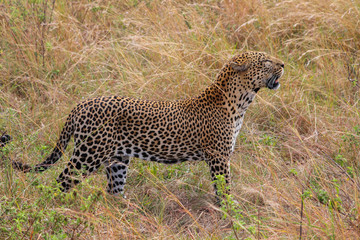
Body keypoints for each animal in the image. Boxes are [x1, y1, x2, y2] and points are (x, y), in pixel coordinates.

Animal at [1, 51, 286, 200]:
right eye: (266, 62)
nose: (283, 64)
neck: (241, 100)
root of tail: (80, 105)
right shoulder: (218, 157)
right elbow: (224, 188)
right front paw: (230, 213)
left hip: (117, 160)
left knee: (113, 191)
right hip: (88, 154)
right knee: (61, 180)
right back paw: (59, 206)